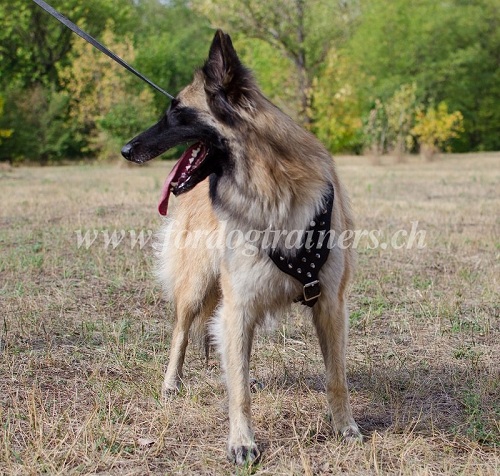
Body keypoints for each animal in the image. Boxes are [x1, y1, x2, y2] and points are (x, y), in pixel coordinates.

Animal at [122, 29, 362, 464]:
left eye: (177, 112)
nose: (126, 150)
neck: (272, 185)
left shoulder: (330, 305)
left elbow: (336, 377)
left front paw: (344, 427)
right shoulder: (239, 307)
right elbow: (239, 390)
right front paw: (241, 440)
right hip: (196, 287)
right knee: (181, 333)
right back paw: (171, 383)